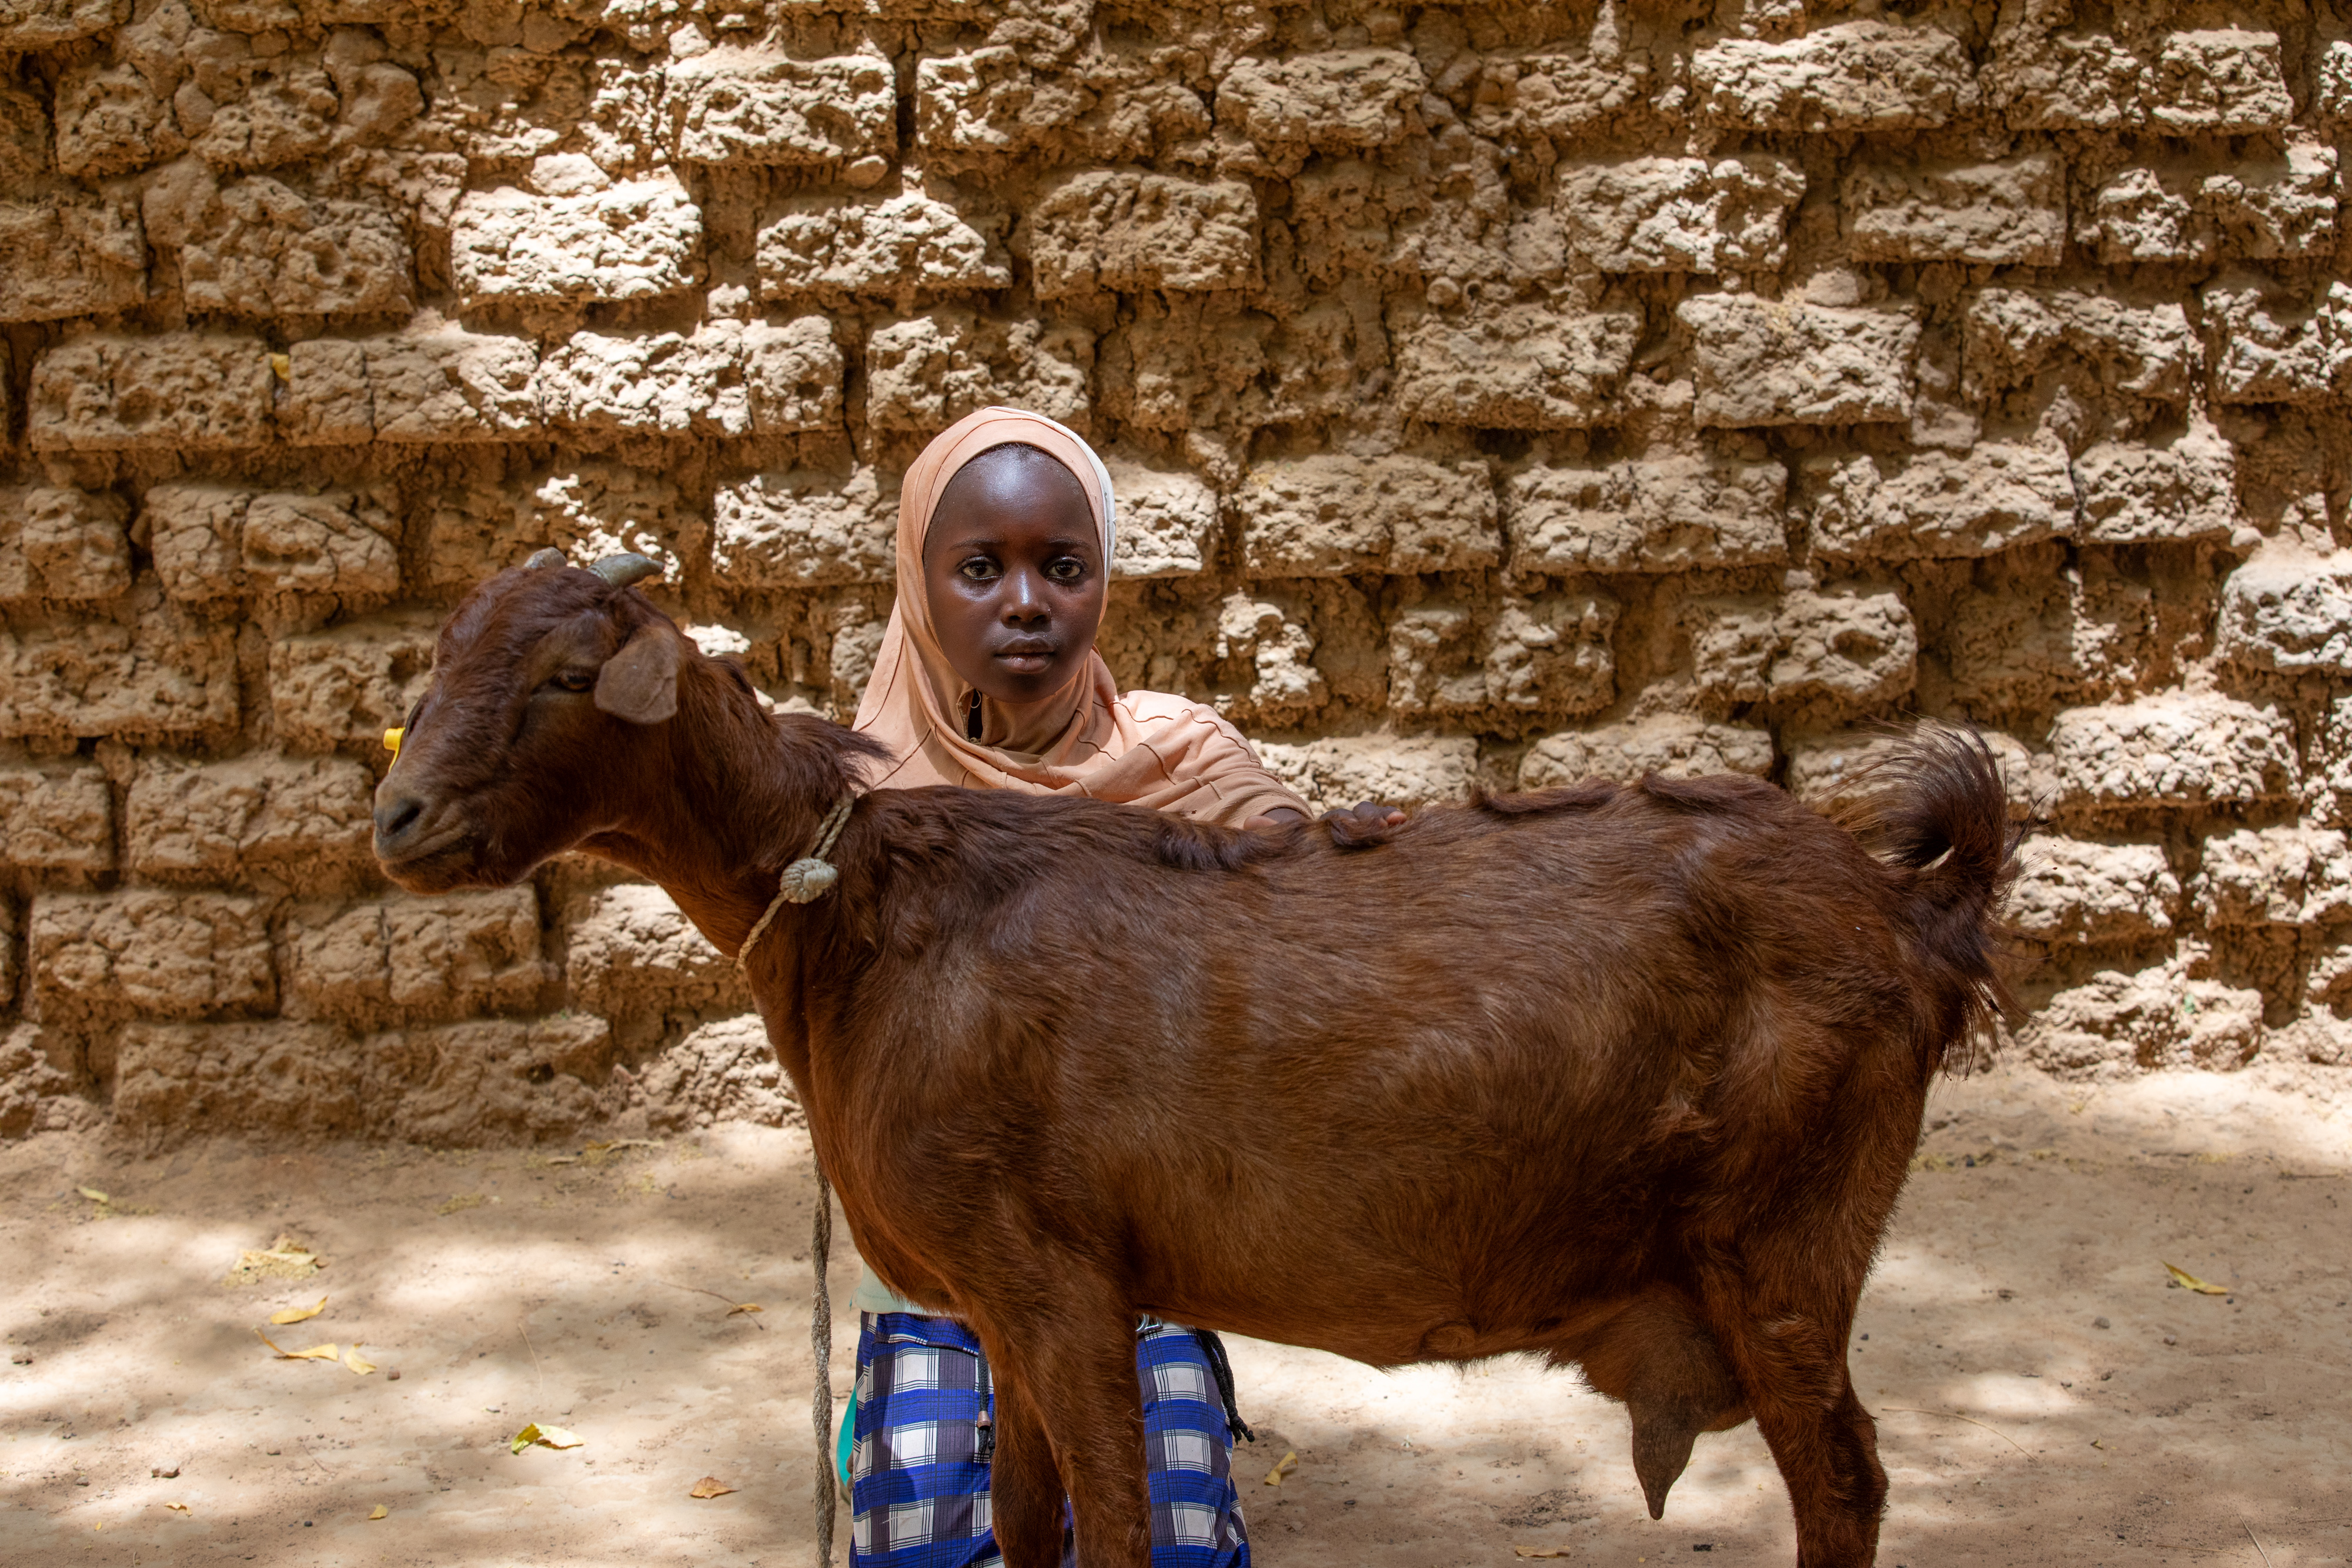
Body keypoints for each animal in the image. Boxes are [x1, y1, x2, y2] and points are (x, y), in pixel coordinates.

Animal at [374, 555, 2019, 1568]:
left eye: (567, 671)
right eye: (439, 654)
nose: (396, 820)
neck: (868, 906)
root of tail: (1908, 911)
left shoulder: (1056, 1276)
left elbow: (1115, 1525)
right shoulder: (997, 1300)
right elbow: (1023, 1522)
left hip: (1783, 1232)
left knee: (1845, 1481)